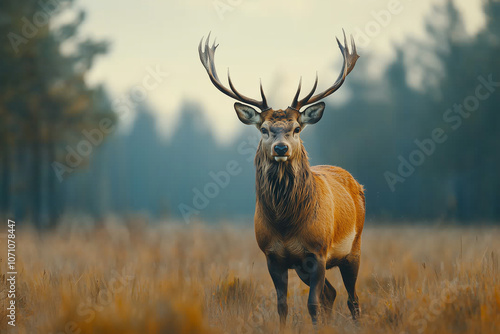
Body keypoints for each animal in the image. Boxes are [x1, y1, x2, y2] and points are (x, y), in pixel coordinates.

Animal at [197, 31, 366, 328]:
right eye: (264, 129)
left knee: (352, 299)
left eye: (296, 128)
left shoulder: (318, 252)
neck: (286, 224)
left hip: (353, 249)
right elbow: (282, 305)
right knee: (331, 294)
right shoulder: (273, 256)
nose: (280, 148)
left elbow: (311, 304)